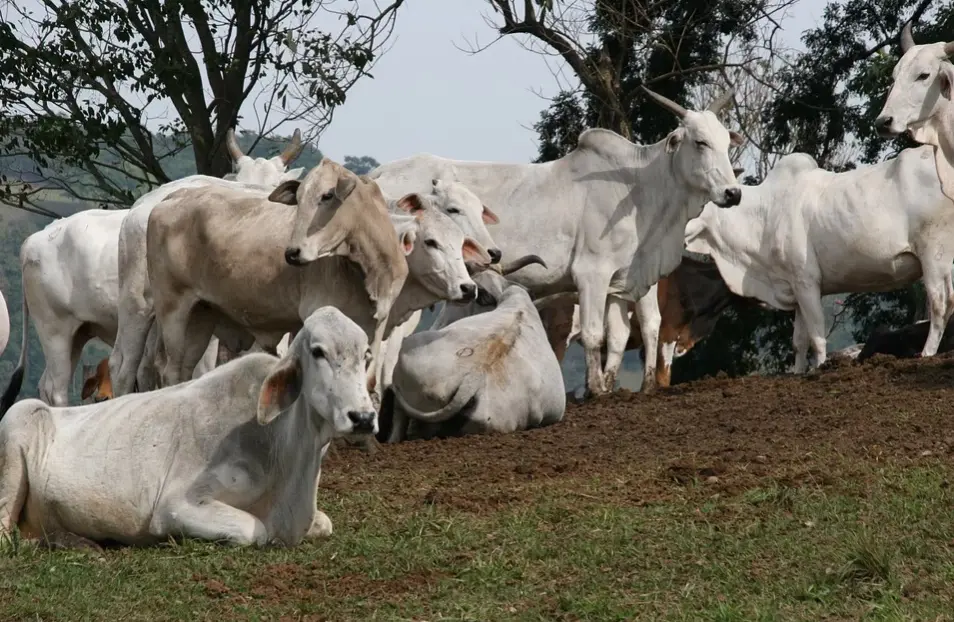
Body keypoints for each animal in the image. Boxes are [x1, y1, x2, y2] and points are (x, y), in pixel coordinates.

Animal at [0, 306, 375, 548]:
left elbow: (324, 524)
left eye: (366, 355)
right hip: (16, 428)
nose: (363, 417)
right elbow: (254, 530)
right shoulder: (178, 504)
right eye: (318, 351)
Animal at [146, 163, 490, 389]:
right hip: (172, 311)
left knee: (184, 368)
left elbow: (367, 377)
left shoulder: (377, 326)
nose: (467, 288)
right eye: (430, 242)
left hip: (202, 315)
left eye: (460, 243)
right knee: (168, 368)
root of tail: (169, 200)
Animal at [368, 86, 744, 396]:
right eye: (700, 142)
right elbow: (594, 334)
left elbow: (632, 331)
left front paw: (639, 386)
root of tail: (378, 175)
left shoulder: (628, 278)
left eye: (727, 143)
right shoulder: (592, 273)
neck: (640, 189)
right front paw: (596, 389)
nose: (733, 193)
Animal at [684, 145, 954, 371]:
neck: (764, 213)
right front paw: (798, 373)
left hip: (934, 255)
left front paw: (820, 369)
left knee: (940, 305)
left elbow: (817, 338)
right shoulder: (795, 288)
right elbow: (799, 342)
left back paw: (927, 353)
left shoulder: (807, 282)